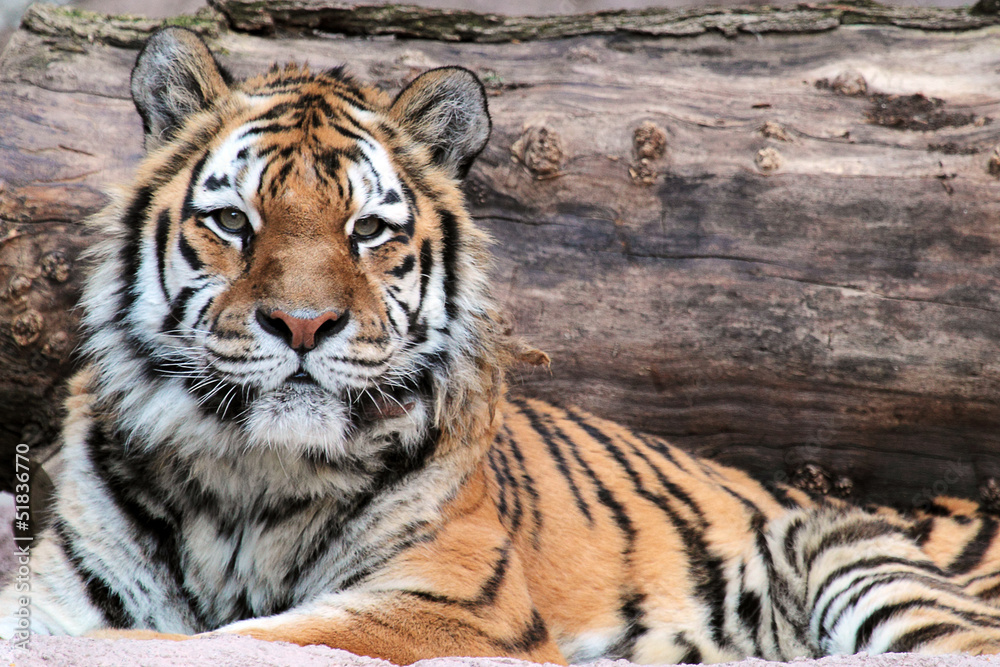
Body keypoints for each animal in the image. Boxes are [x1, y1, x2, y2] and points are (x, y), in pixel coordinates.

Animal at [4, 26, 1000, 665]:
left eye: (368, 230)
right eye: (232, 222)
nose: (303, 324)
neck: (247, 481)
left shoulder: (446, 605)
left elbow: (207, 641)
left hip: (861, 558)